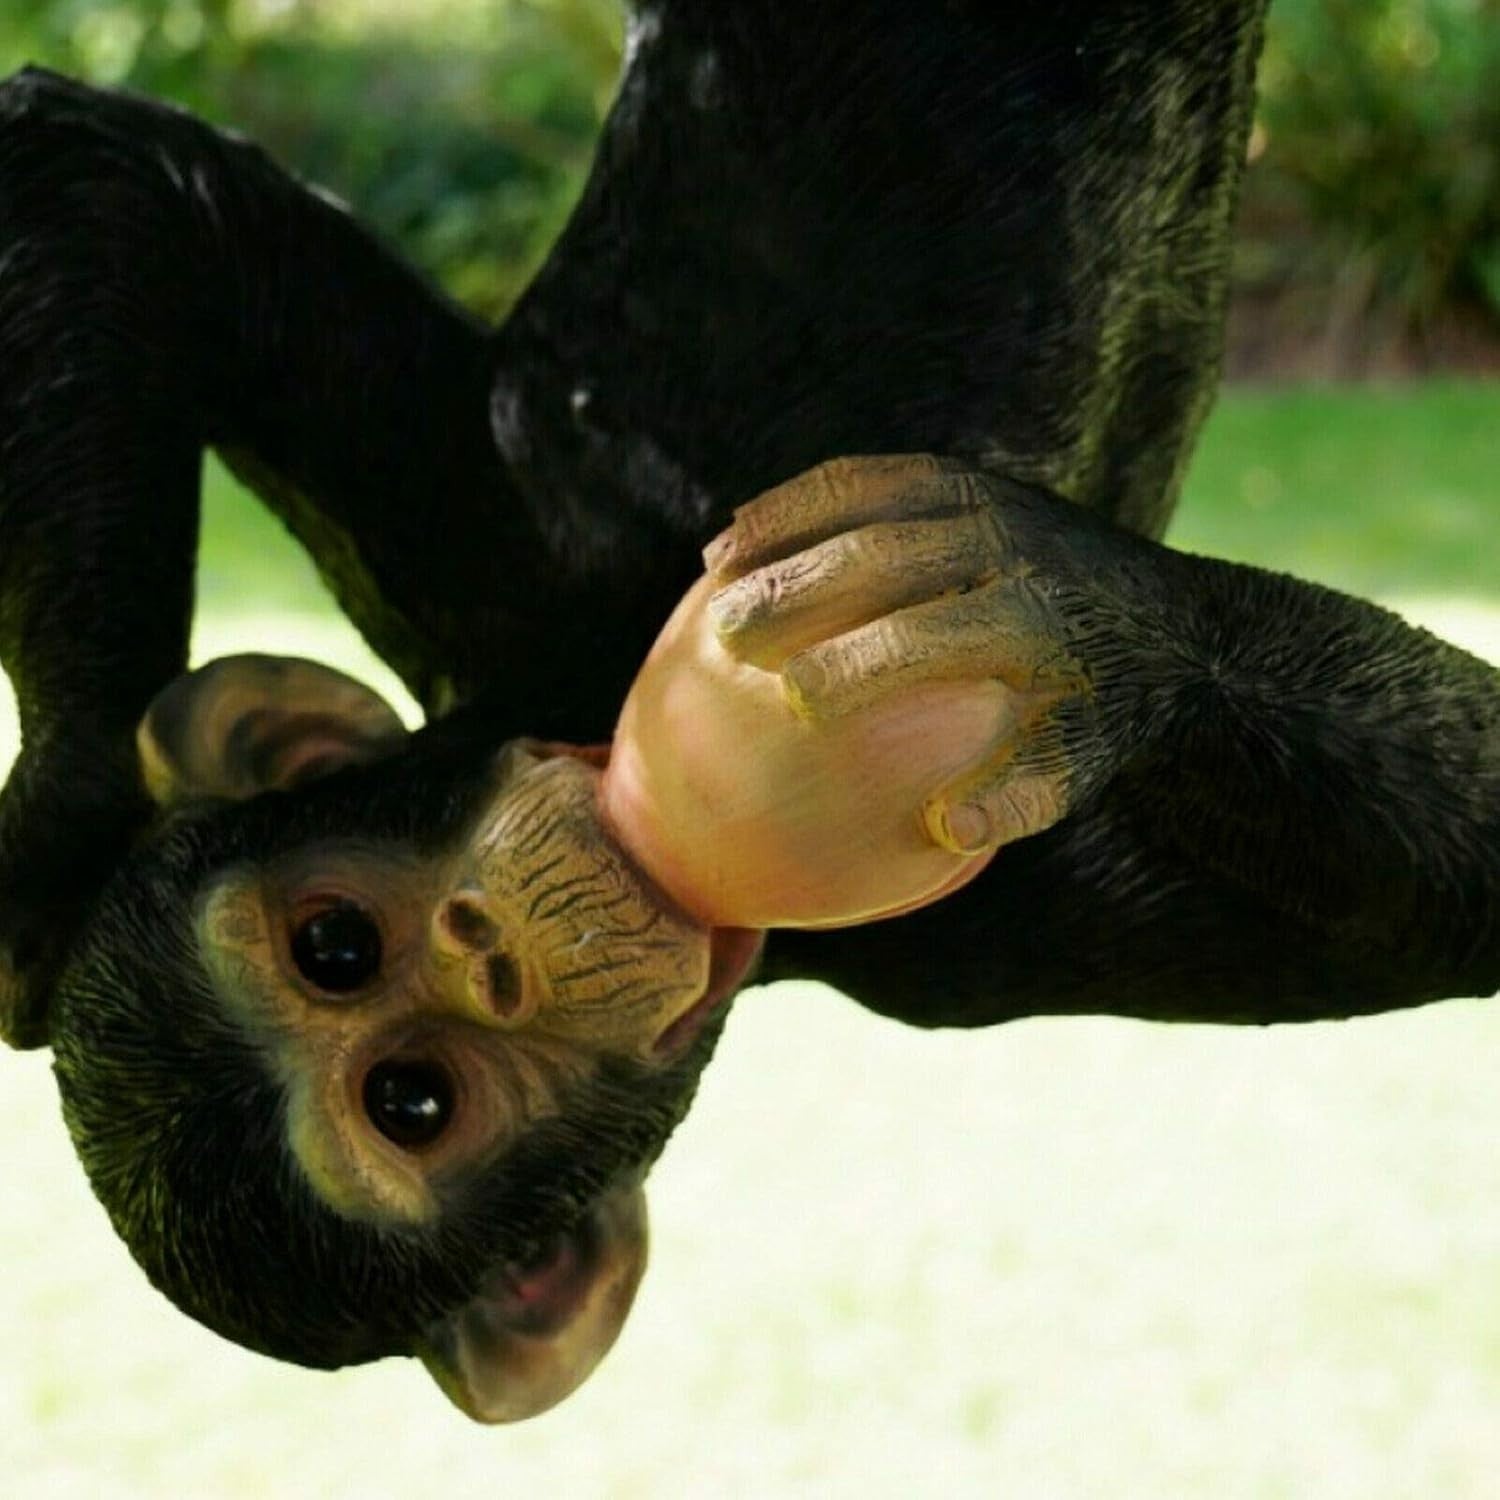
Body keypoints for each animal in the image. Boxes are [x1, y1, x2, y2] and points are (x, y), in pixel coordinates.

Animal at [0, 0, 1496, 1424]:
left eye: (332, 947)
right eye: (412, 1100)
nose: (490, 950)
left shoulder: (489, 538)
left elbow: (120, 188)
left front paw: (61, 834)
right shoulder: (981, 944)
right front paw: (1099, 628)